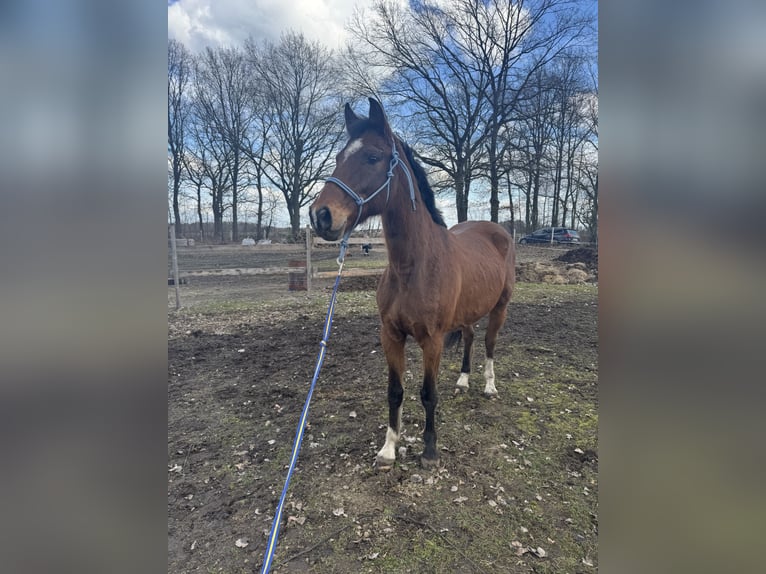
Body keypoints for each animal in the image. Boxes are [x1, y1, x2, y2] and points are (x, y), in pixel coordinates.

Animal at [308, 98, 516, 468]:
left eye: (372, 157)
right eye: (339, 158)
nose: (321, 215)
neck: (412, 268)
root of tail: (497, 230)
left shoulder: (431, 341)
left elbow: (428, 394)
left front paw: (429, 451)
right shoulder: (391, 335)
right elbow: (395, 392)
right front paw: (389, 448)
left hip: (499, 308)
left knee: (490, 342)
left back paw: (489, 387)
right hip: (467, 312)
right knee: (470, 337)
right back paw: (463, 380)